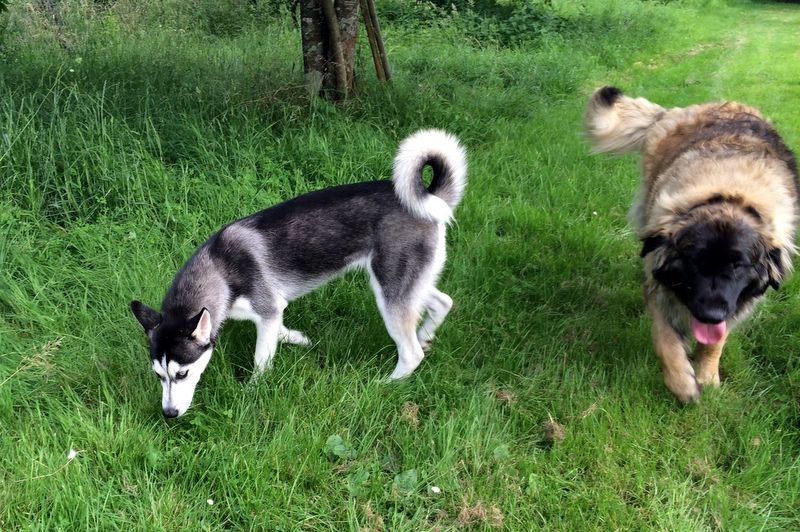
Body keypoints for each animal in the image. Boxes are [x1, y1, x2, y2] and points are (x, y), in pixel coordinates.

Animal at [131, 129, 468, 416]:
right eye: (158, 375)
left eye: (182, 373)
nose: (169, 414)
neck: (220, 268)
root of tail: (431, 197)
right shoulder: (270, 310)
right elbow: (280, 330)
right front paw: (299, 339)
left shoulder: (267, 309)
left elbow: (261, 359)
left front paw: (253, 391)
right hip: (406, 283)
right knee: (444, 302)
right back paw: (425, 335)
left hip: (389, 291)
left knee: (411, 353)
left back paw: (387, 383)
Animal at [584, 87, 796, 404]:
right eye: (695, 261)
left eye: (738, 266)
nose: (711, 314)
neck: (728, 195)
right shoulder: (658, 283)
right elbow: (665, 340)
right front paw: (682, 382)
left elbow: (715, 342)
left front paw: (707, 376)